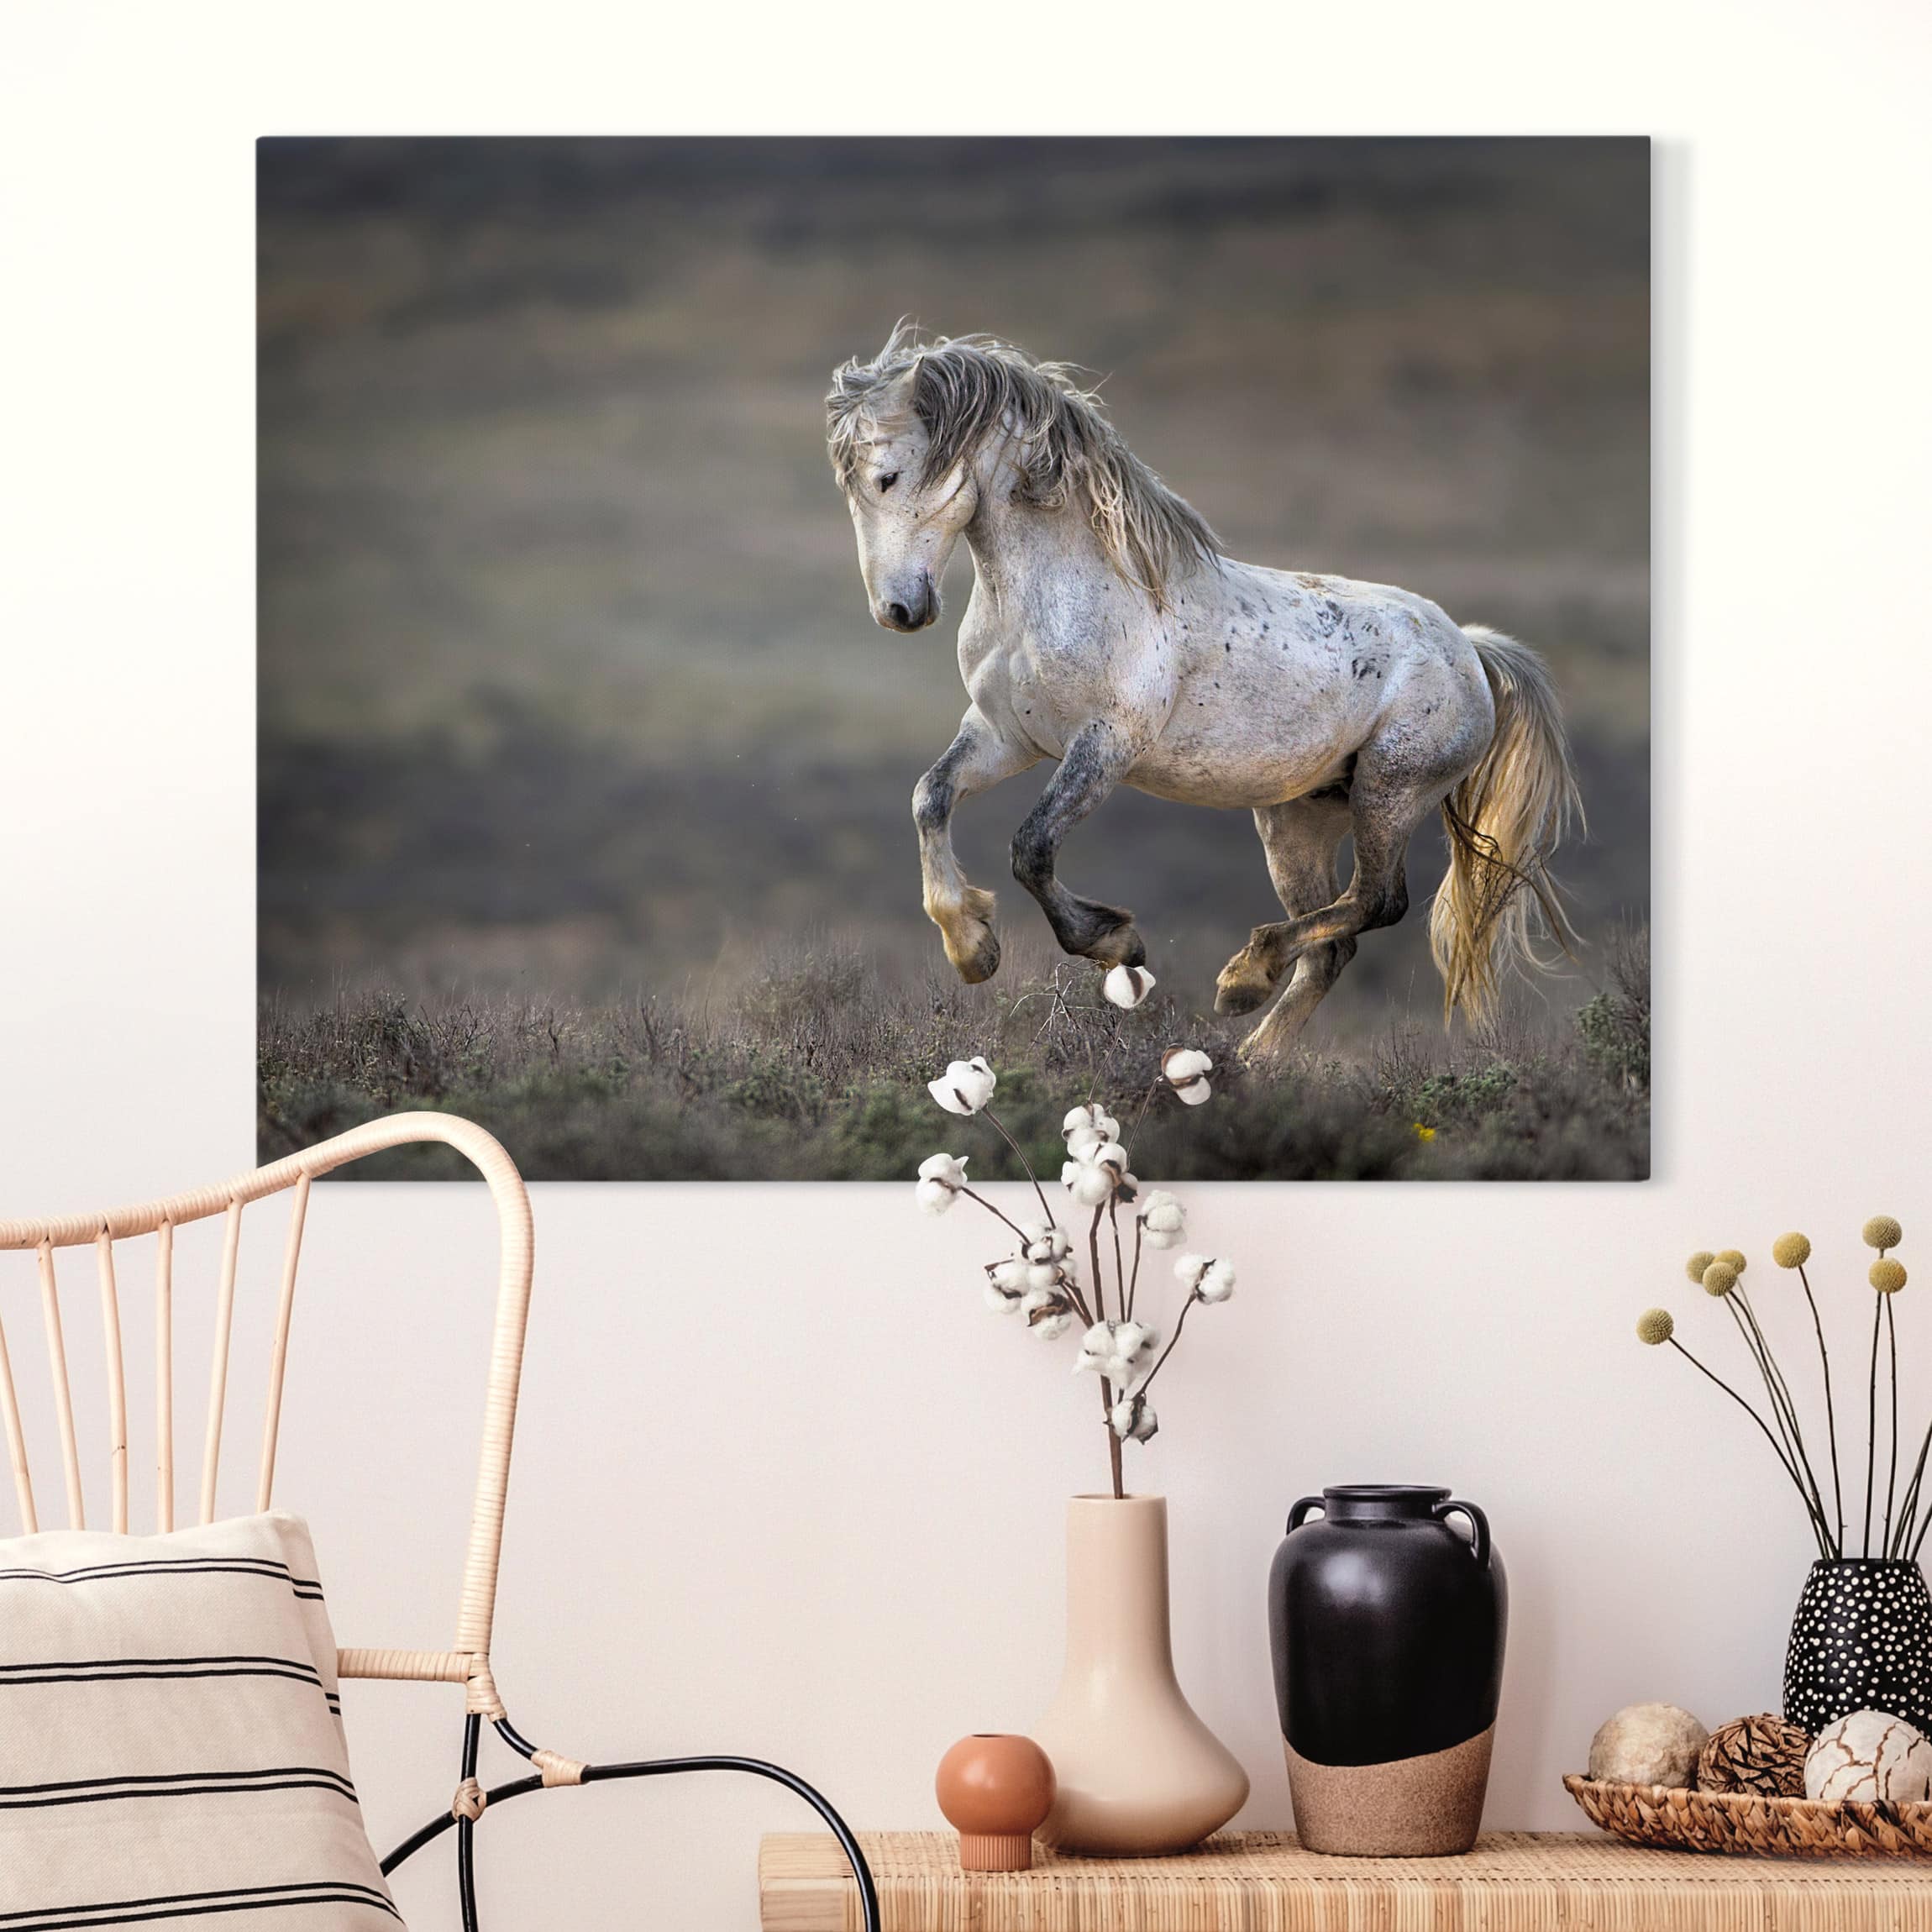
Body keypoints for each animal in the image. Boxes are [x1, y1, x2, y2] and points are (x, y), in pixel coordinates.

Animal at [825, 325, 1583, 1064]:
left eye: (888, 476)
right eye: (851, 488)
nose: (899, 610)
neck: (1052, 594)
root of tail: (1471, 651)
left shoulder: (1104, 746)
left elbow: (1032, 848)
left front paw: (1115, 943)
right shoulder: (1005, 735)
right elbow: (930, 798)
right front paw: (973, 948)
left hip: (1389, 792)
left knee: (1375, 902)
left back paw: (1243, 975)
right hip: (1299, 818)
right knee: (1335, 943)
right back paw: (1250, 1055)